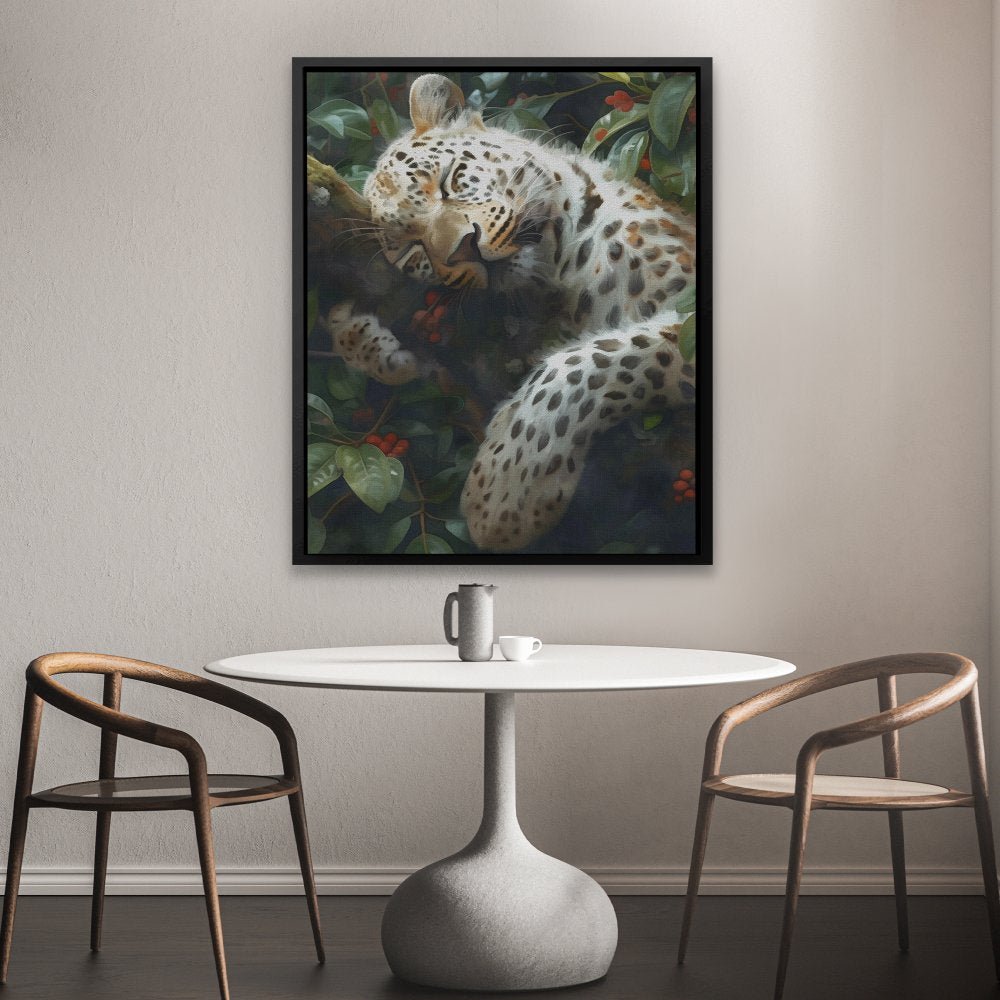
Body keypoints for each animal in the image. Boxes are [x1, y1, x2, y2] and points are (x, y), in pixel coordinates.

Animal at [326, 73, 697, 552]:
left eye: (450, 180)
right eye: (412, 249)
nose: (464, 247)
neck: (559, 278)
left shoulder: (686, 313)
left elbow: (600, 358)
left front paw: (506, 493)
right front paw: (370, 340)